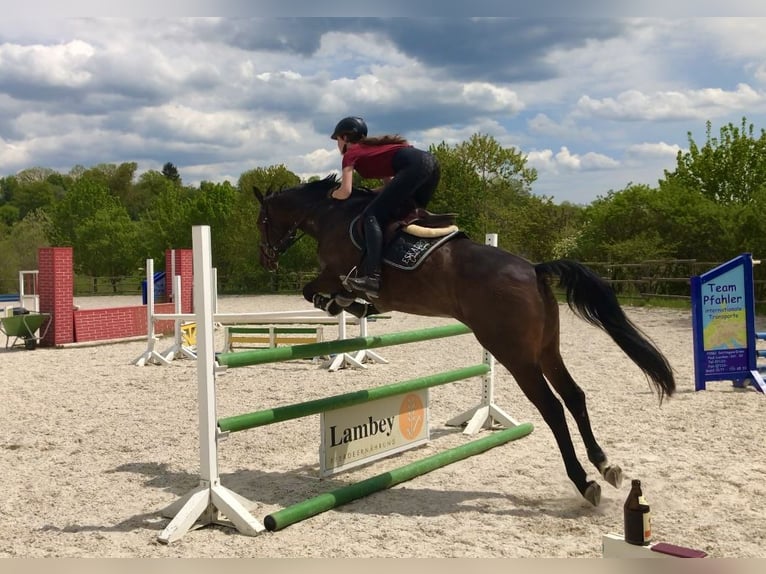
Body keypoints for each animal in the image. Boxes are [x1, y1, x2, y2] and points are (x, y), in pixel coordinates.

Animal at [255, 174, 676, 508]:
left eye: (261, 220)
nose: (266, 259)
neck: (332, 215)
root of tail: (534, 269)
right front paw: (353, 307)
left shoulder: (335, 272)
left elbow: (313, 290)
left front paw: (341, 303)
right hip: (546, 349)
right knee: (574, 396)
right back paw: (605, 465)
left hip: (514, 355)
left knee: (553, 408)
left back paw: (583, 481)